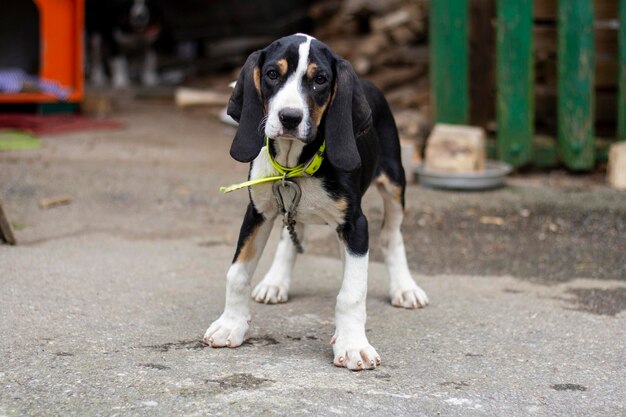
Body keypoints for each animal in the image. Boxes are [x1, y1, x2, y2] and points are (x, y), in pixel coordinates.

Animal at [202, 34, 426, 368]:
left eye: (320, 80)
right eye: (272, 74)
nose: (289, 117)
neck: (294, 164)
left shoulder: (356, 224)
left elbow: (352, 292)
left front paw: (352, 344)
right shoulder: (257, 213)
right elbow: (237, 274)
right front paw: (231, 325)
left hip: (394, 181)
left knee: (390, 235)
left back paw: (405, 288)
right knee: (292, 236)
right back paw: (276, 281)